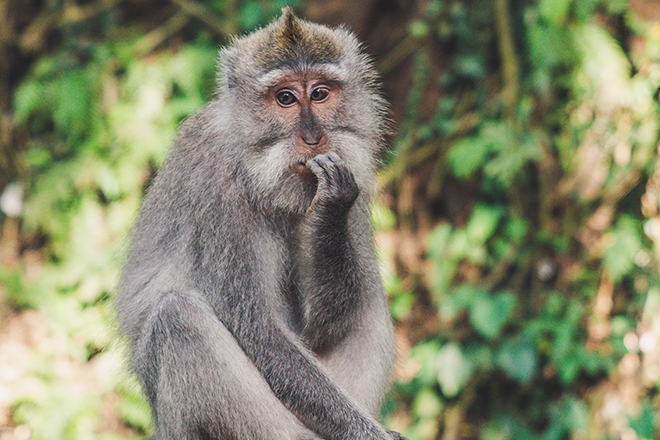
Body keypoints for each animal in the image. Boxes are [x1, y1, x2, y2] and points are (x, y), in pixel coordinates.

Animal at [116, 7, 407, 440]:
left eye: (320, 93)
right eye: (285, 98)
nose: (313, 137)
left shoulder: (354, 171)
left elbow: (320, 326)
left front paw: (330, 208)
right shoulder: (218, 193)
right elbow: (262, 332)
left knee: (369, 299)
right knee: (178, 316)